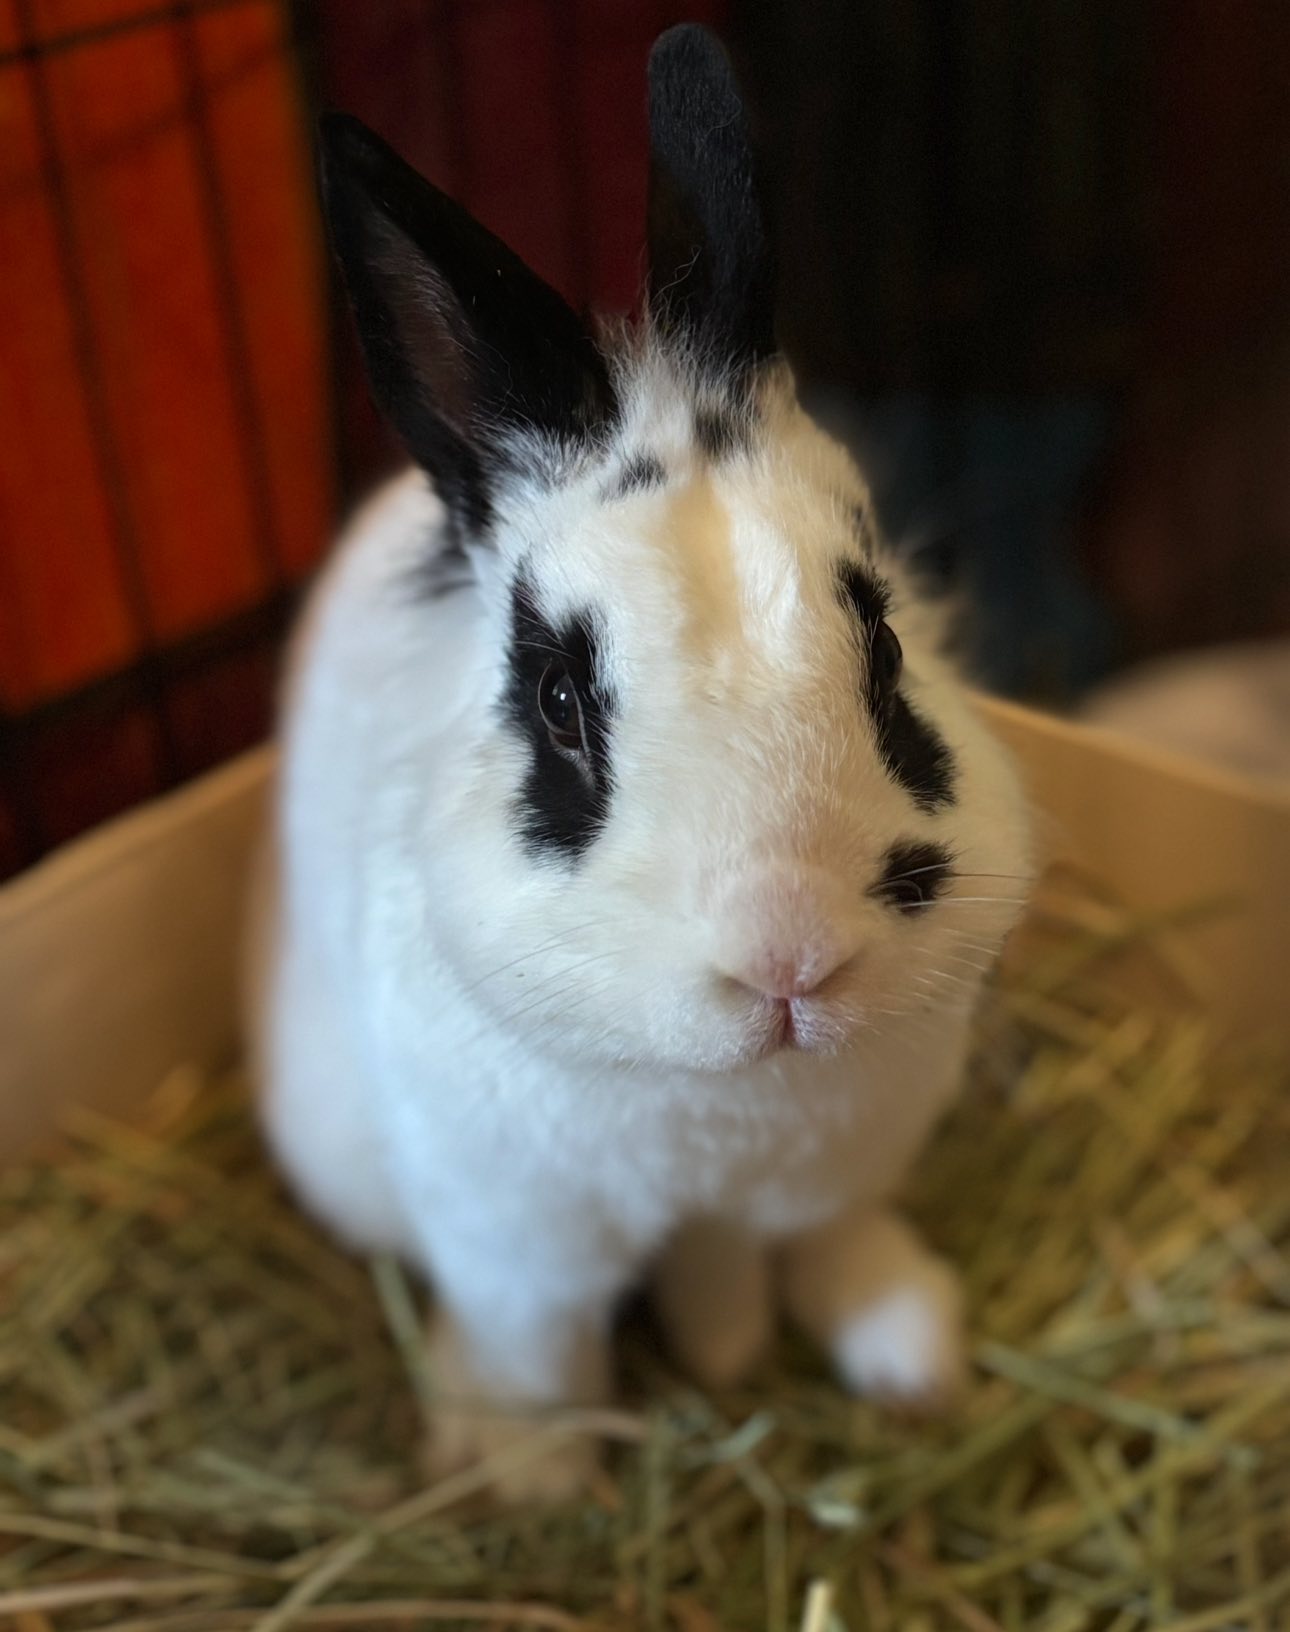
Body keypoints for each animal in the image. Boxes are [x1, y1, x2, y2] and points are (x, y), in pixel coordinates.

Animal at [250, 24, 1034, 1501]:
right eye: (560, 701)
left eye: (887, 640)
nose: (791, 958)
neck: (719, 1112)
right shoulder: (516, 1241)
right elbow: (542, 1344)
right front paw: (535, 1474)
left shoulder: (833, 1158)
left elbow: (818, 1234)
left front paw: (895, 1364)